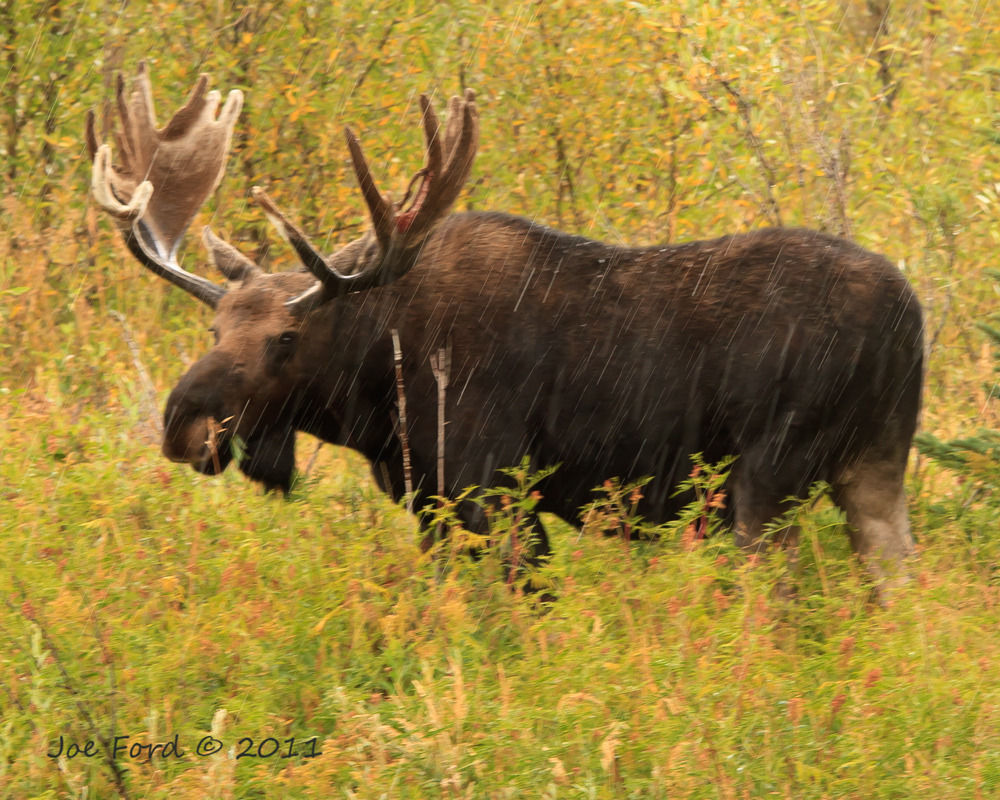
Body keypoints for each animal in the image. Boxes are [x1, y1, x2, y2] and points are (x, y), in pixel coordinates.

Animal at [90, 64, 924, 588]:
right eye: (214, 329)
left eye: (286, 341)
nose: (183, 423)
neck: (378, 397)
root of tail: (911, 319)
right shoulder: (431, 504)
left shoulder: (491, 492)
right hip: (874, 467)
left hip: (767, 478)